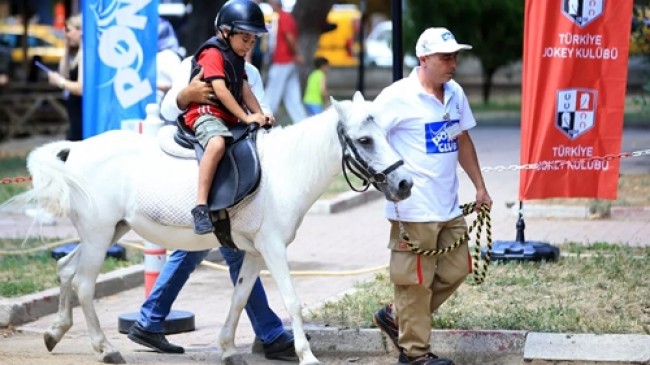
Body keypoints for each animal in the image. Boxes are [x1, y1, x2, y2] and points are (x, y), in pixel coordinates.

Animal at [12, 91, 410, 364]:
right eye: (365, 140)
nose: (404, 183)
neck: (283, 169)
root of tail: (74, 151)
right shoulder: (273, 248)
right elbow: (292, 301)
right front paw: (306, 355)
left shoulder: (254, 252)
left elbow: (240, 297)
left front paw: (229, 349)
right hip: (98, 236)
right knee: (83, 284)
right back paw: (106, 348)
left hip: (109, 231)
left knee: (66, 269)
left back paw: (55, 332)